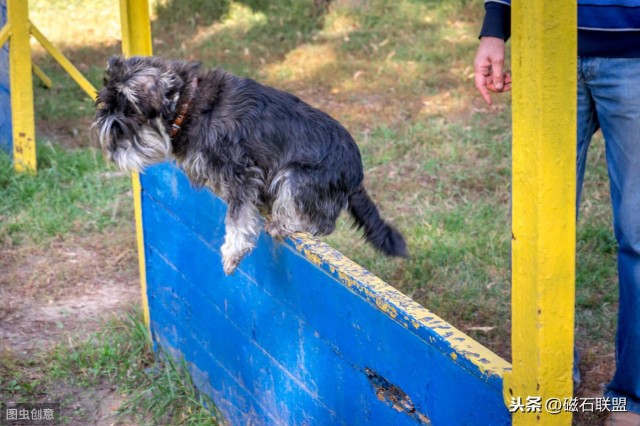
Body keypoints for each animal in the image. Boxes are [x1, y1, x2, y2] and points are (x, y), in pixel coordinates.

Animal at [92, 56, 408, 274]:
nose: (113, 154)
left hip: (295, 176)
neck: (188, 105)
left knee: (321, 222)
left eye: (124, 120)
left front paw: (233, 251)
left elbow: (237, 217)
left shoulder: (241, 172)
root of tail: (356, 176)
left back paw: (284, 223)